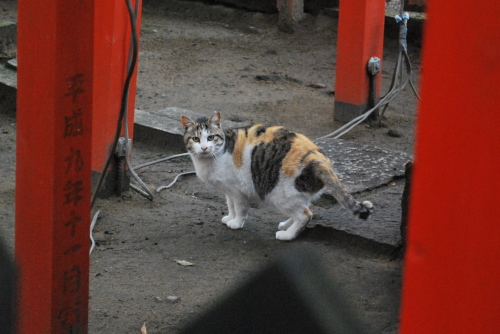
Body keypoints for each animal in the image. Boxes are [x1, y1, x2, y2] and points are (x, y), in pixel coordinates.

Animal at [180, 111, 372, 240]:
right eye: (196, 139)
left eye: (211, 137)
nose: (204, 148)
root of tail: (318, 158)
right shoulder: (228, 190)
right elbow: (231, 205)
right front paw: (229, 217)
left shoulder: (237, 191)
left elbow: (240, 208)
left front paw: (236, 223)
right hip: (294, 194)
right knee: (304, 209)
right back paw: (286, 225)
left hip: (280, 194)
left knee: (306, 215)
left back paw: (287, 234)